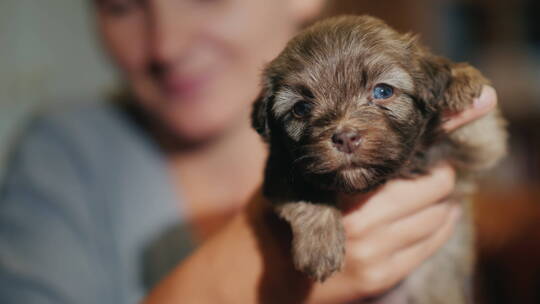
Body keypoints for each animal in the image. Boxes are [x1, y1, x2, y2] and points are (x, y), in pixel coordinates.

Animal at [252, 15, 506, 302]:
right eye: (301, 108)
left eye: (383, 91)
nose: (346, 138)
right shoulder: (280, 169)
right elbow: (305, 196)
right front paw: (319, 246)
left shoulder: (481, 147)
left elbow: (476, 127)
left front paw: (457, 77)